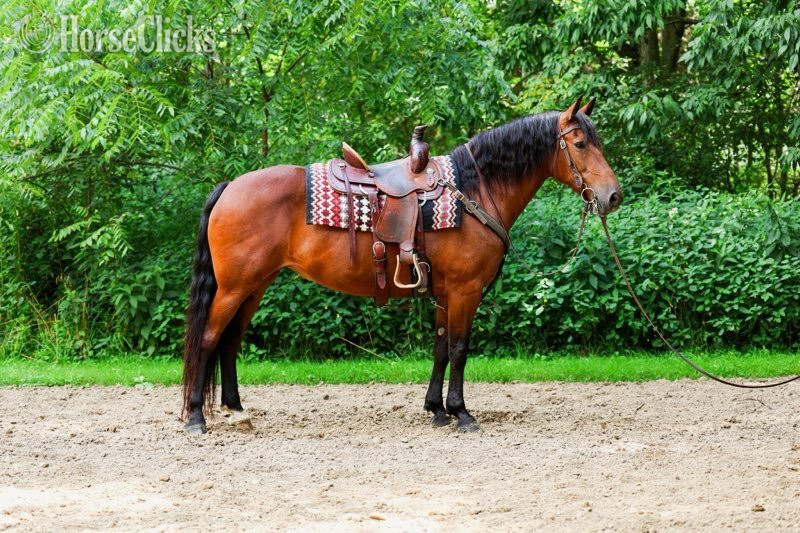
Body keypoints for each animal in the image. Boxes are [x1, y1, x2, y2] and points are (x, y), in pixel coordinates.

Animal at [181, 96, 622, 434]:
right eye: (580, 143)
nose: (613, 196)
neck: (475, 189)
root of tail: (230, 187)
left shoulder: (445, 293)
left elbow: (441, 347)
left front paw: (437, 409)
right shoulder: (465, 290)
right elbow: (459, 348)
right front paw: (461, 413)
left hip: (255, 286)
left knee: (230, 342)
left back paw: (237, 411)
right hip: (235, 287)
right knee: (209, 338)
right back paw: (196, 418)